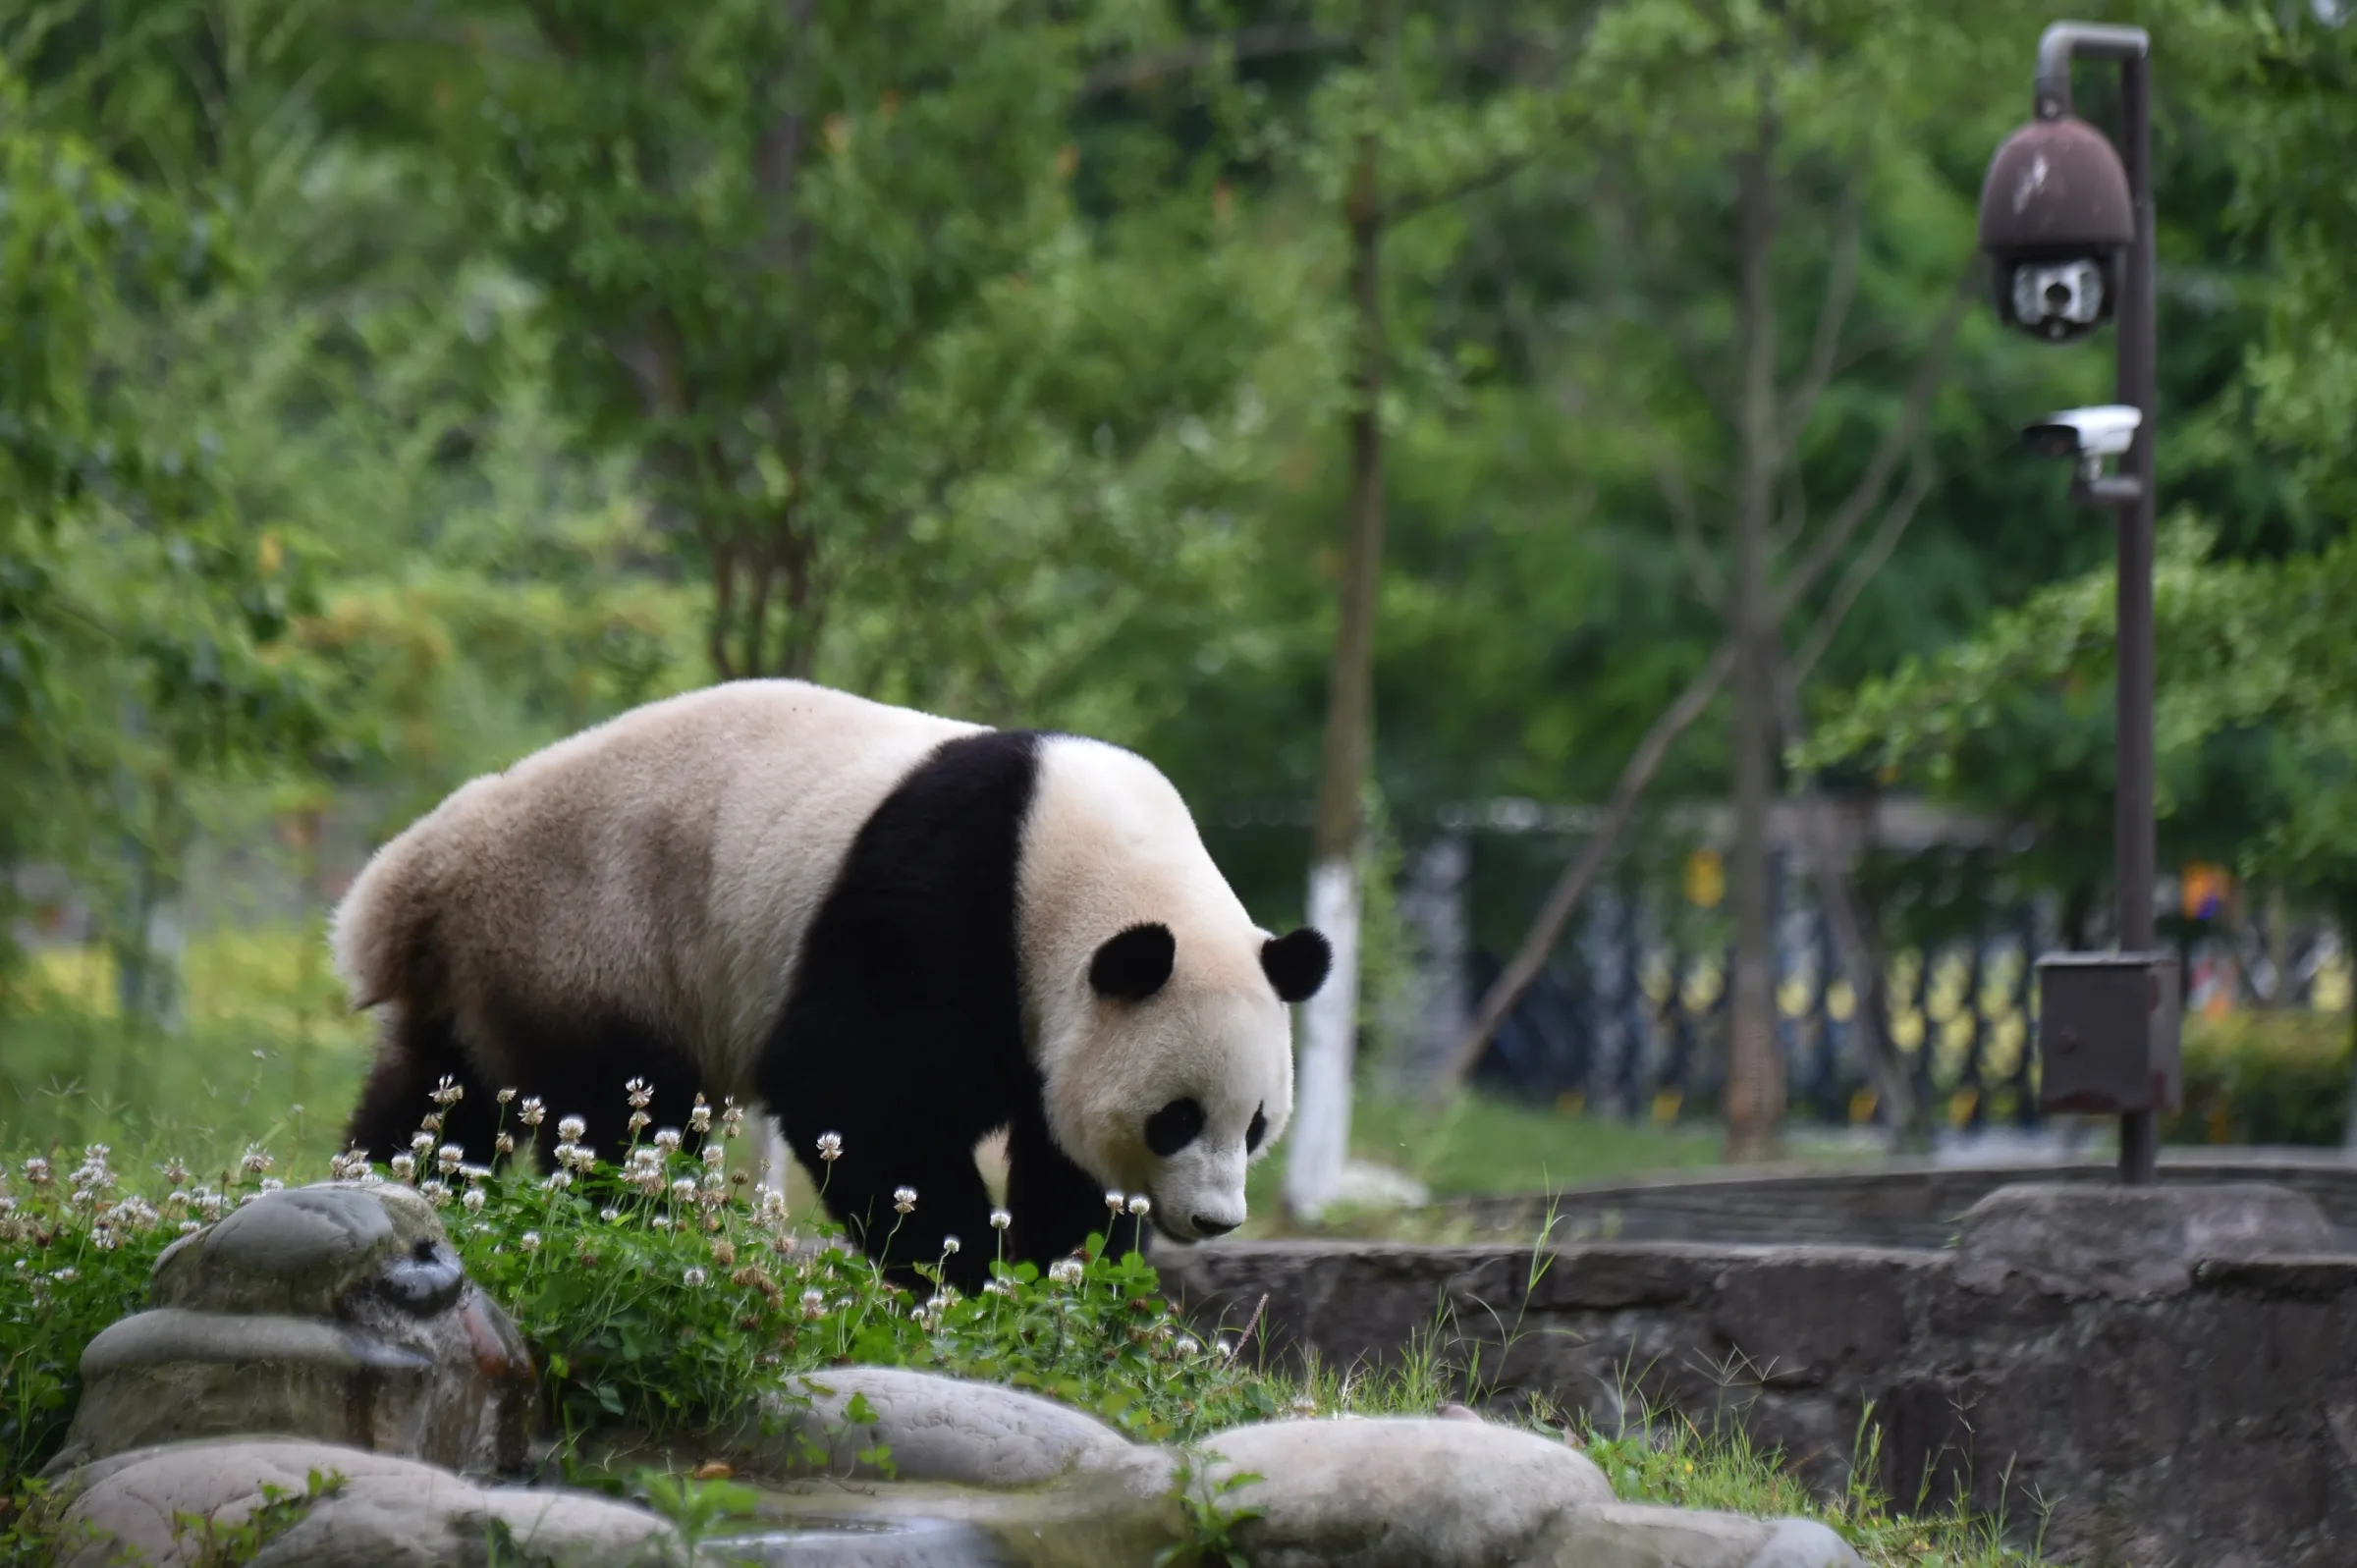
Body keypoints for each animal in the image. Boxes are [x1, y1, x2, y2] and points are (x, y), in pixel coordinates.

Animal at [331, 679, 1330, 1292]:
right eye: (1176, 1117)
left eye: (1256, 1124)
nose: (1215, 1218)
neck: (1082, 864)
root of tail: (422, 873)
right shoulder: (946, 903)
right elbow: (855, 1087)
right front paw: (961, 1277)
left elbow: (1065, 1160)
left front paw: (1062, 1283)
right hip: (589, 940)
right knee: (625, 1118)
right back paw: (643, 1229)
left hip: (492, 980)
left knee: (438, 1099)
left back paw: (382, 1185)